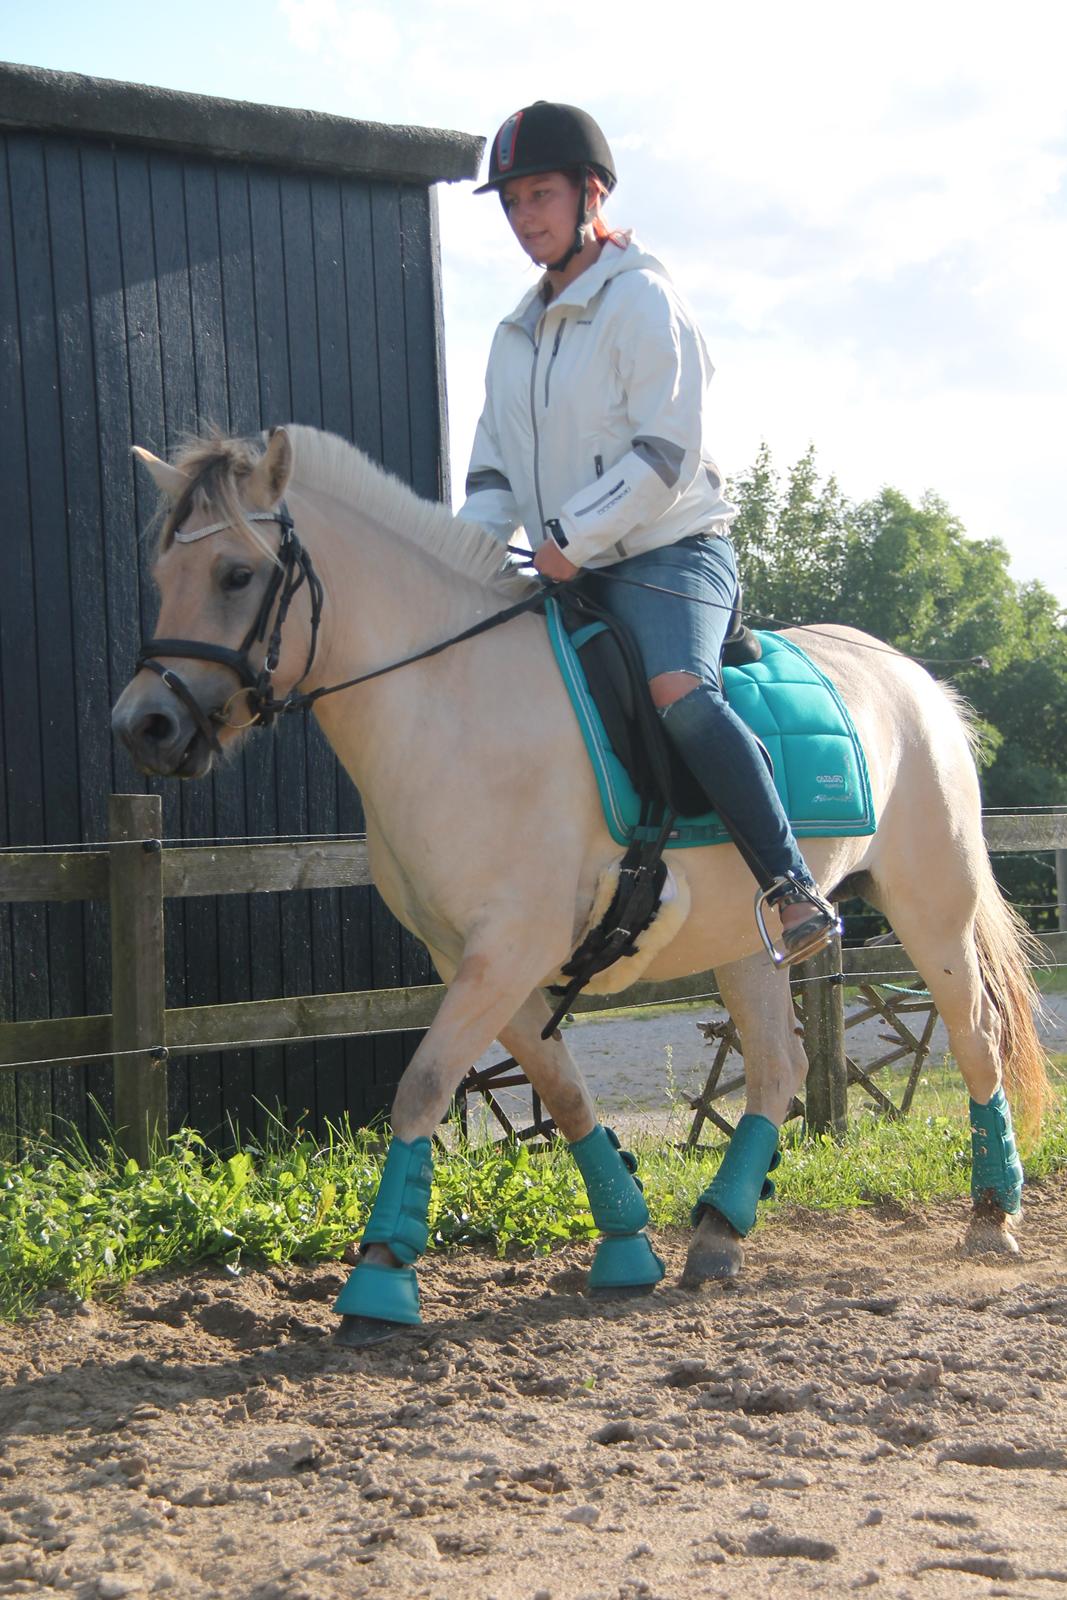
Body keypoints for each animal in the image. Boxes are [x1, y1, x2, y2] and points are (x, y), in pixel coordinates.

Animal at [112, 419, 1049, 1344]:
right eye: (161, 575)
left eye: (236, 573)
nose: (143, 725)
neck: (453, 704)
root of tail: (916, 681)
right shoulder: (477, 961)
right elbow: (561, 1094)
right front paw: (625, 1245)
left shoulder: (507, 949)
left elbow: (421, 1087)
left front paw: (380, 1278)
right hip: (748, 940)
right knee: (779, 1065)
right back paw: (720, 1230)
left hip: (931, 910)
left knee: (973, 1037)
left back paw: (990, 1214)